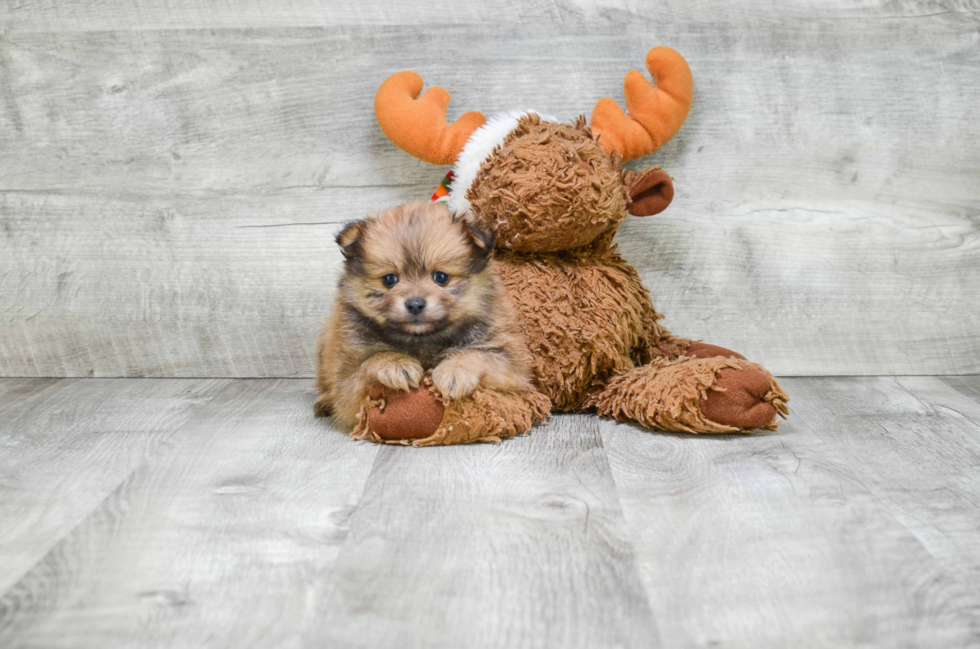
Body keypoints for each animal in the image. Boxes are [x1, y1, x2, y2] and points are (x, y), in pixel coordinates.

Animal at [316, 200, 536, 428]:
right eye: (389, 279)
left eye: (441, 277)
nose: (415, 304)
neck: (422, 339)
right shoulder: (347, 386)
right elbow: (370, 362)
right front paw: (395, 364)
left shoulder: (510, 362)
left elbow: (478, 355)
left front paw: (455, 370)